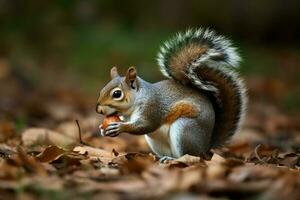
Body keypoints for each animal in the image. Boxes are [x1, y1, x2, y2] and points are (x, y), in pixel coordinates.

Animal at [97, 27, 247, 161]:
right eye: (102, 89)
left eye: (117, 94)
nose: (98, 110)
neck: (139, 98)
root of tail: (206, 147)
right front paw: (102, 129)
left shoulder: (152, 107)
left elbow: (145, 125)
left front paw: (120, 127)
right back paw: (160, 157)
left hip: (185, 130)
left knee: (189, 156)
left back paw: (172, 159)